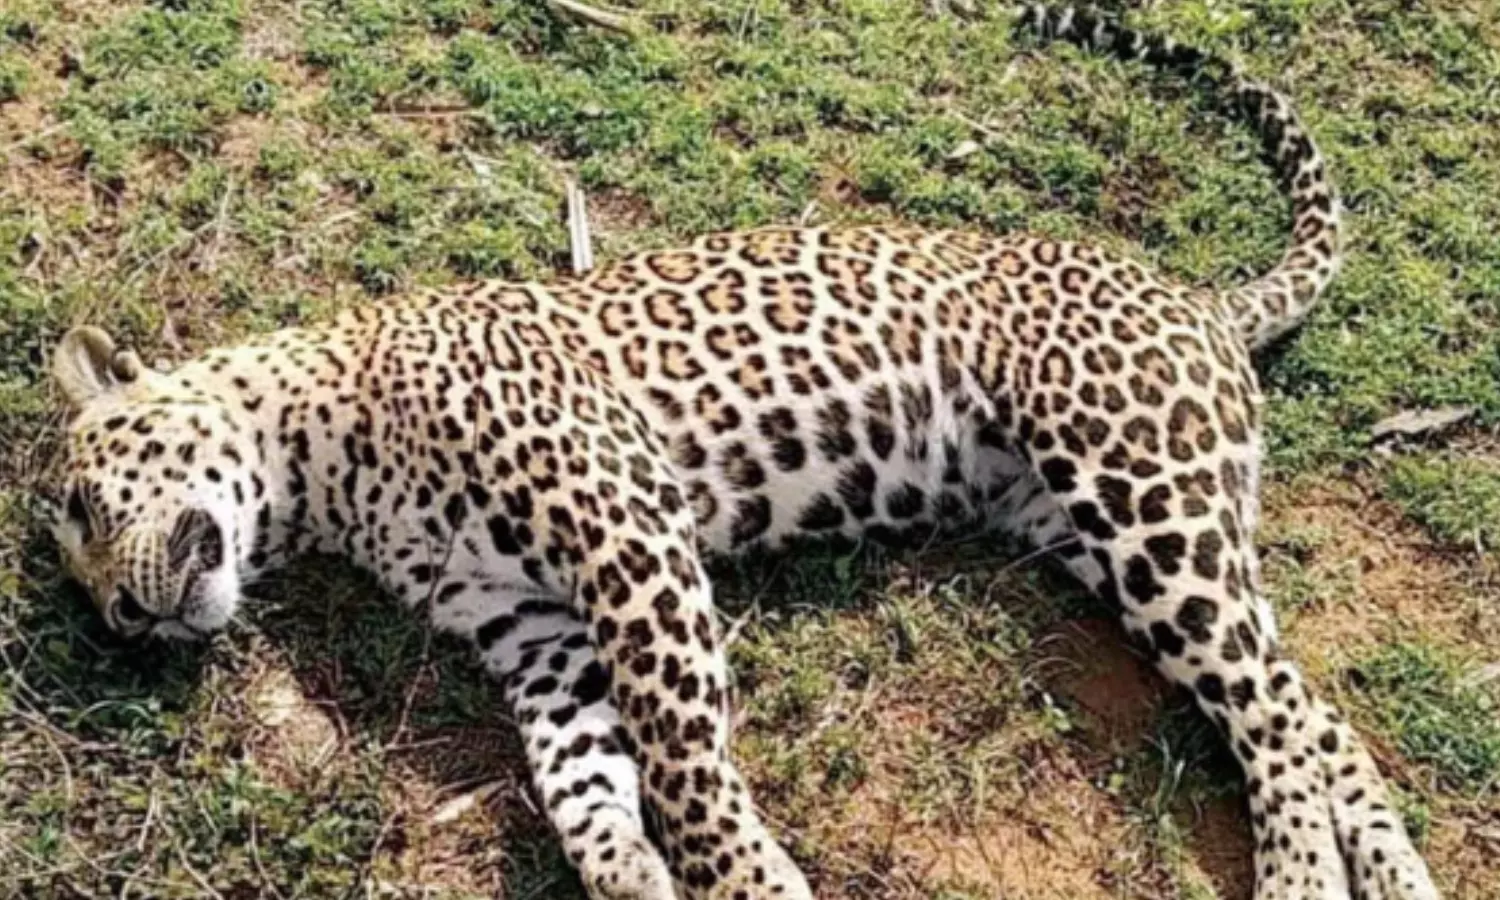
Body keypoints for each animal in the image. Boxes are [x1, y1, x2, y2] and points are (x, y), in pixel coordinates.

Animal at [41, 5, 1439, 900]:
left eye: (82, 503)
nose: (119, 618)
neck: (326, 470)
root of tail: (1201, 297)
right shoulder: (532, 633)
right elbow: (583, 781)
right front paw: (631, 878)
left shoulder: (624, 528)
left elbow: (681, 753)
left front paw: (741, 879)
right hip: (1119, 540)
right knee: (1306, 703)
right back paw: (1396, 871)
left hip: (1140, 490)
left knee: (1272, 715)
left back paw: (1306, 878)